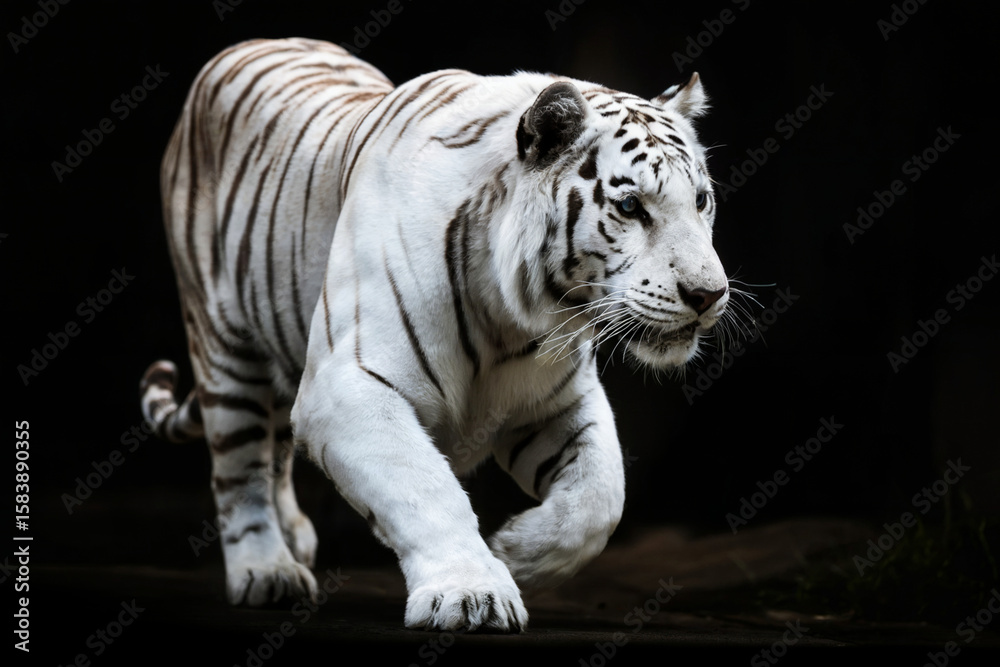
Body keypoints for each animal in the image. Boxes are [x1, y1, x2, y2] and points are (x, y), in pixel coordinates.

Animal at [140, 37, 730, 633]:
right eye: (631, 206)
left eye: (701, 200)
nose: (709, 295)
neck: (510, 313)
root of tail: (259, 42)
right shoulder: (346, 388)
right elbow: (426, 488)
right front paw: (472, 593)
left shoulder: (559, 402)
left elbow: (601, 498)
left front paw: (516, 551)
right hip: (226, 350)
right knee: (240, 470)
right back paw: (267, 570)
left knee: (273, 448)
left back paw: (297, 540)